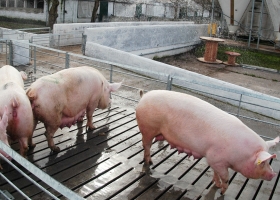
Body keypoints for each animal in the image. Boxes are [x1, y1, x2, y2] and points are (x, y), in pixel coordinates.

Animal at [135, 90, 278, 195]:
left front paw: (217, 184)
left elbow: (215, 172)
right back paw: (150, 162)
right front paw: (222, 192)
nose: (273, 174)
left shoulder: (214, 160)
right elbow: (226, 177)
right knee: (146, 145)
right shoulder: (217, 158)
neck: (242, 154)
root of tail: (144, 96)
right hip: (147, 128)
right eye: (263, 163)